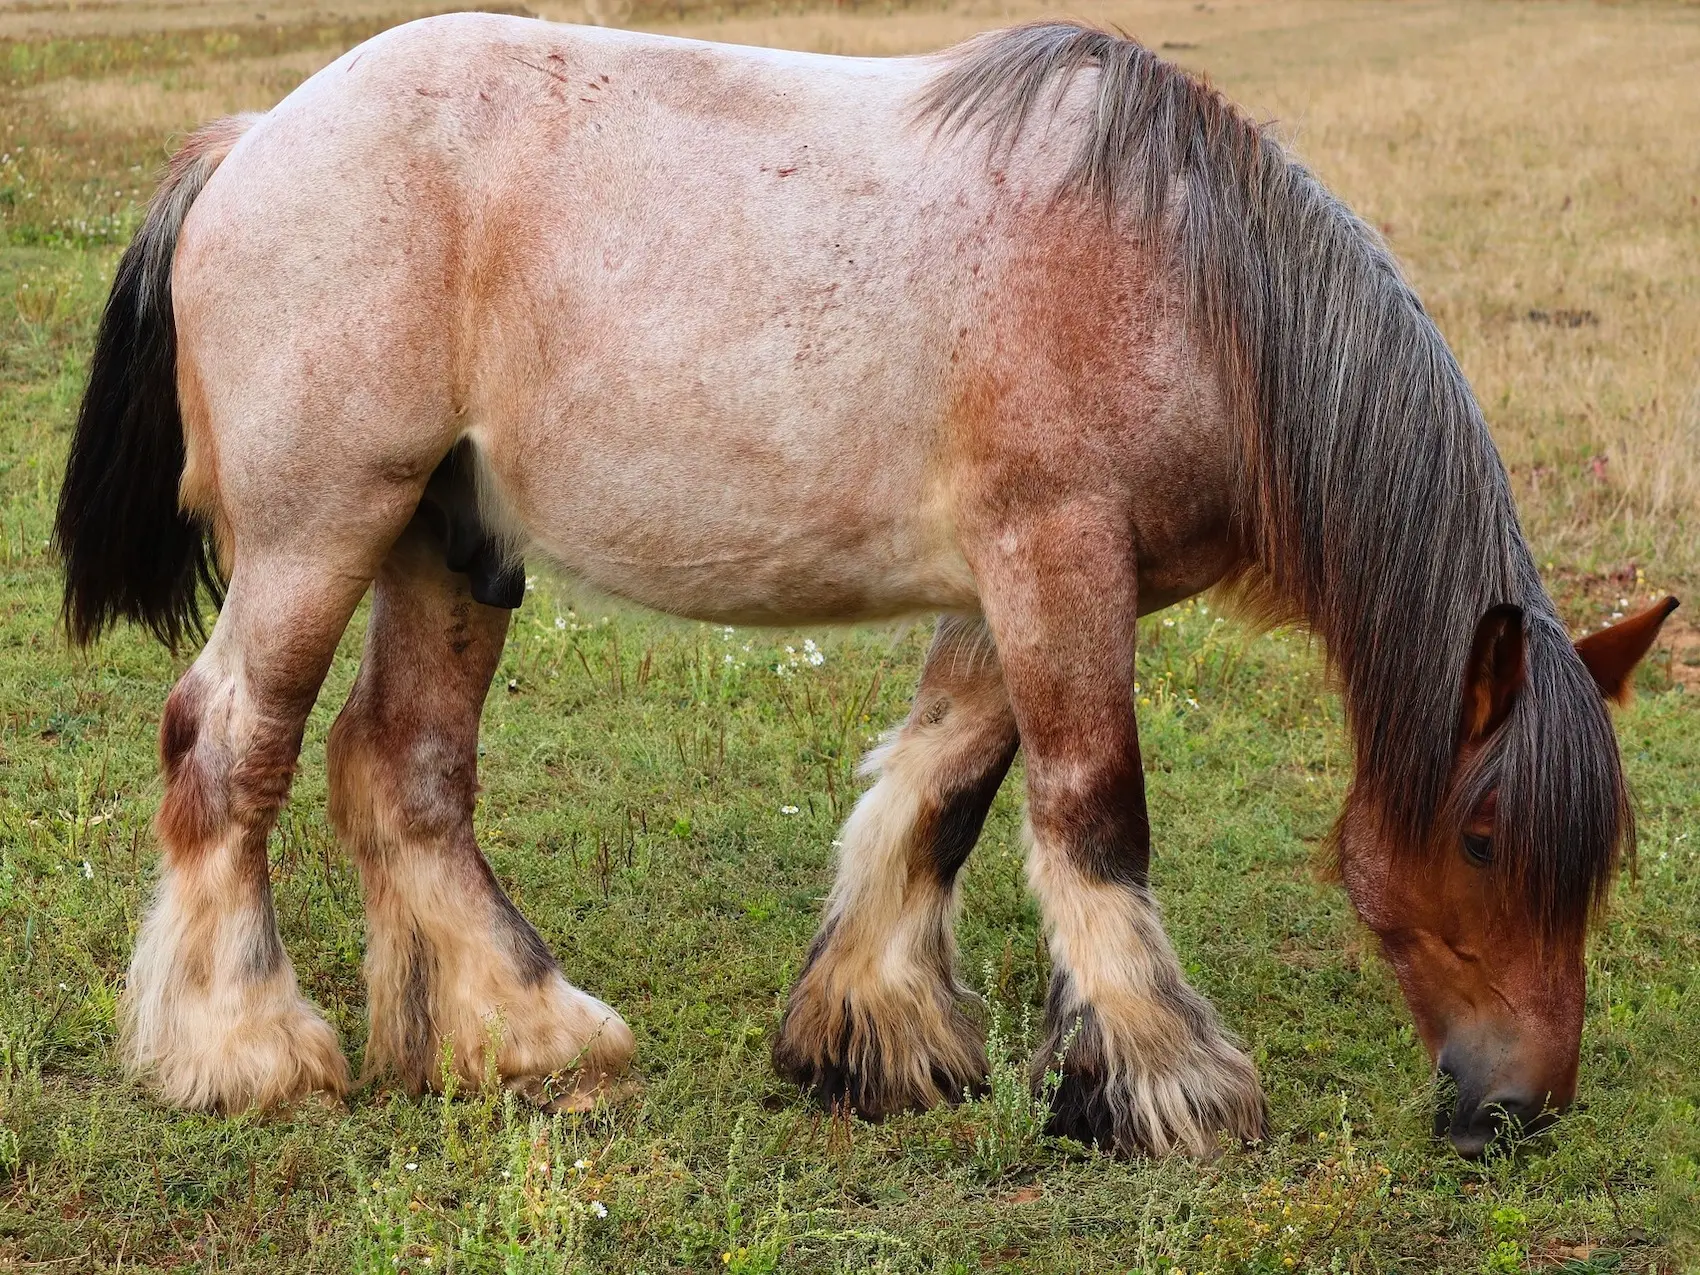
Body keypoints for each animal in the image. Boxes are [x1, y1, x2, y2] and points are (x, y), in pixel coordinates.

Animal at [56, 19, 1672, 1162]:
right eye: (1481, 835)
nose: (1518, 1105)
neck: (1190, 285)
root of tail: (255, 137)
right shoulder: (1054, 559)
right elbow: (1091, 813)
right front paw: (1168, 1083)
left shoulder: (1017, 586)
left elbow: (943, 788)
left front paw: (872, 1035)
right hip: (317, 537)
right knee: (227, 746)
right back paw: (241, 1046)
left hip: (449, 545)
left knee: (404, 768)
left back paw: (524, 1032)